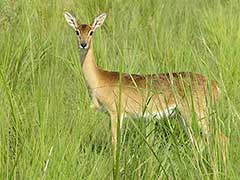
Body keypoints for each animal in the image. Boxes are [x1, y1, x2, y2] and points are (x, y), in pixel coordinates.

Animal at [63, 11, 225, 159]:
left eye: (91, 31)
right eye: (77, 31)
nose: (83, 44)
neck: (100, 79)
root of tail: (213, 85)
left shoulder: (116, 113)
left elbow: (115, 143)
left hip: (198, 114)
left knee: (220, 137)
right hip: (183, 116)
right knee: (198, 142)